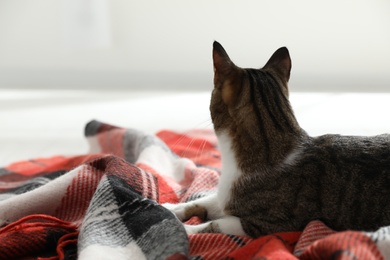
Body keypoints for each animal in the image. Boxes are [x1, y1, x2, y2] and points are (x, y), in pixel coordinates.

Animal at [163, 40, 390, 238]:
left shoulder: (268, 224)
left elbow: (214, 225)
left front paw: (184, 228)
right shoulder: (224, 196)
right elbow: (203, 201)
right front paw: (170, 209)